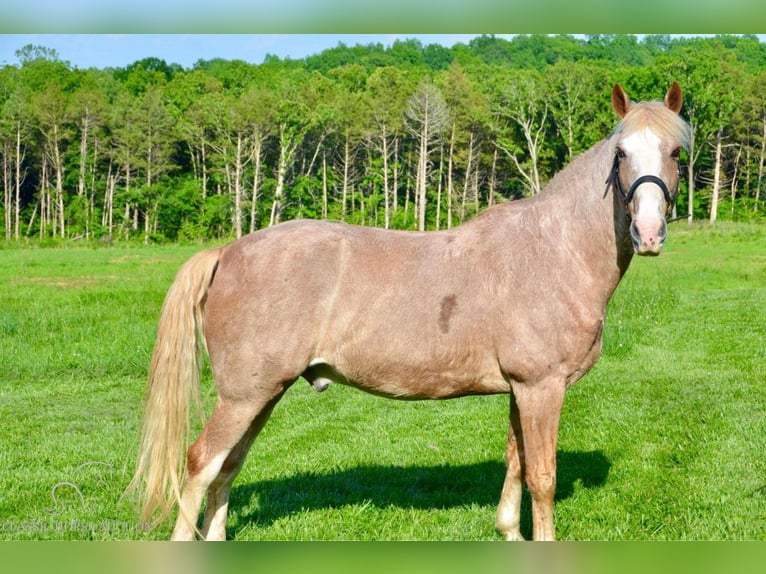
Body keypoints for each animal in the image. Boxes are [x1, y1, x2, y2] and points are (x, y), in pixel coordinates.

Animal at [132, 83, 696, 544]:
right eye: (621, 152)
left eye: (676, 152)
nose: (648, 233)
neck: (553, 250)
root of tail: (227, 252)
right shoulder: (542, 388)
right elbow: (542, 476)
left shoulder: (521, 390)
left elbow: (515, 463)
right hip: (244, 396)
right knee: (202, 465)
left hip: (261, 394)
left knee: (227, 468)